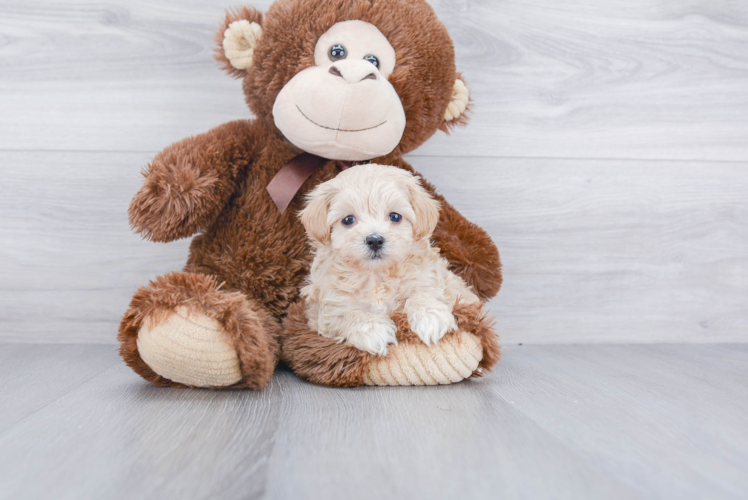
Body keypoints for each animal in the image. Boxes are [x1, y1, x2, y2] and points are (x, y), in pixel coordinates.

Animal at [298, 164, 480, 356]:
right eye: (348, 220)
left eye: (395, 216)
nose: (374, 240)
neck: (376, 275)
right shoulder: (328, 311)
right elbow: (350, 315)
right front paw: (373, 331)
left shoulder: (429, 279)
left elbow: (423, 294)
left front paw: (431, 318)